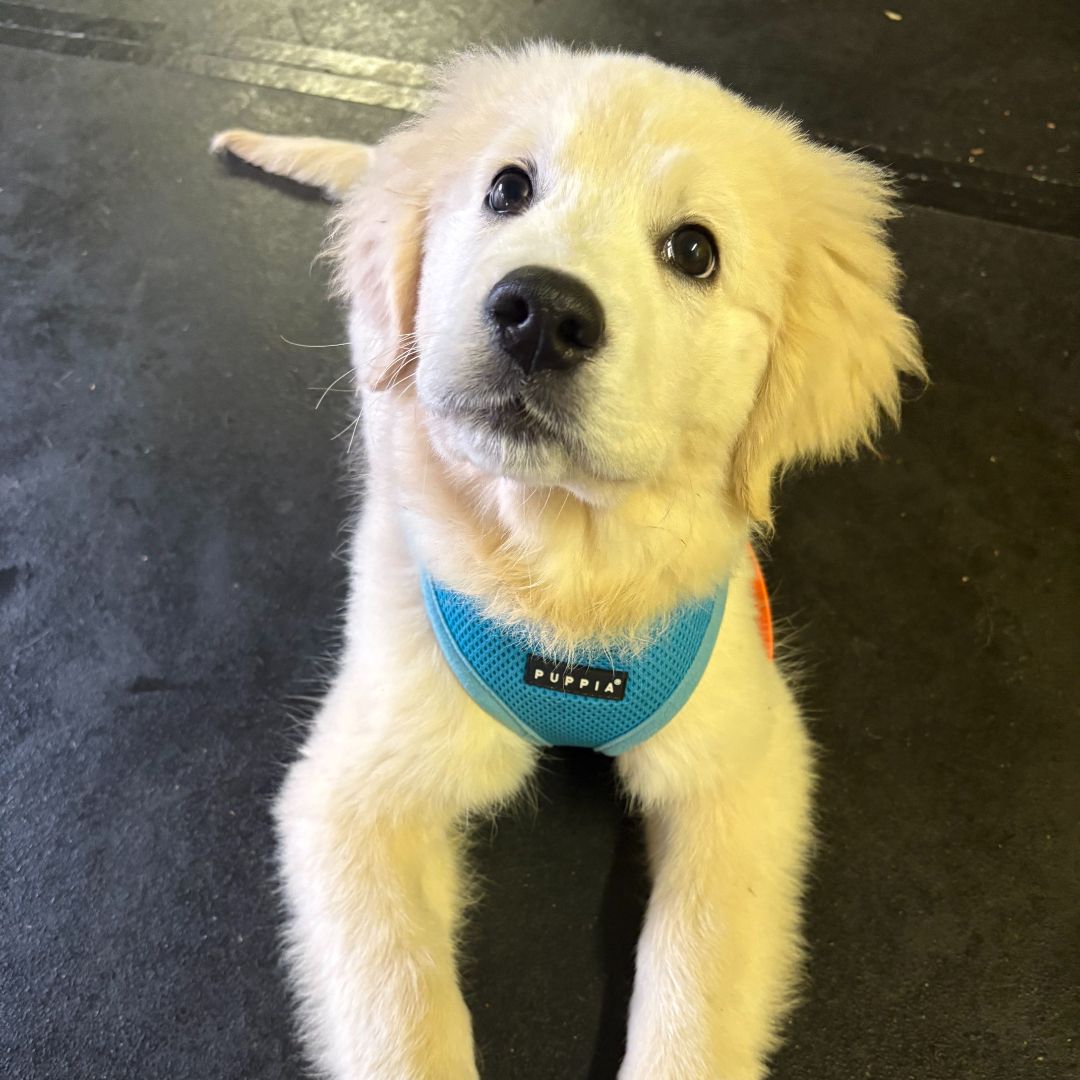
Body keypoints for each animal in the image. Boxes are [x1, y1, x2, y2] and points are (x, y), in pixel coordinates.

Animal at [212, 43, 924, 1079]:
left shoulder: (745, 767)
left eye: (694, 251)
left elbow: (700, 980)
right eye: (508, 187)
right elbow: (400, 1010)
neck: (569, 574)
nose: (539, 314)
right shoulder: (356, 792)